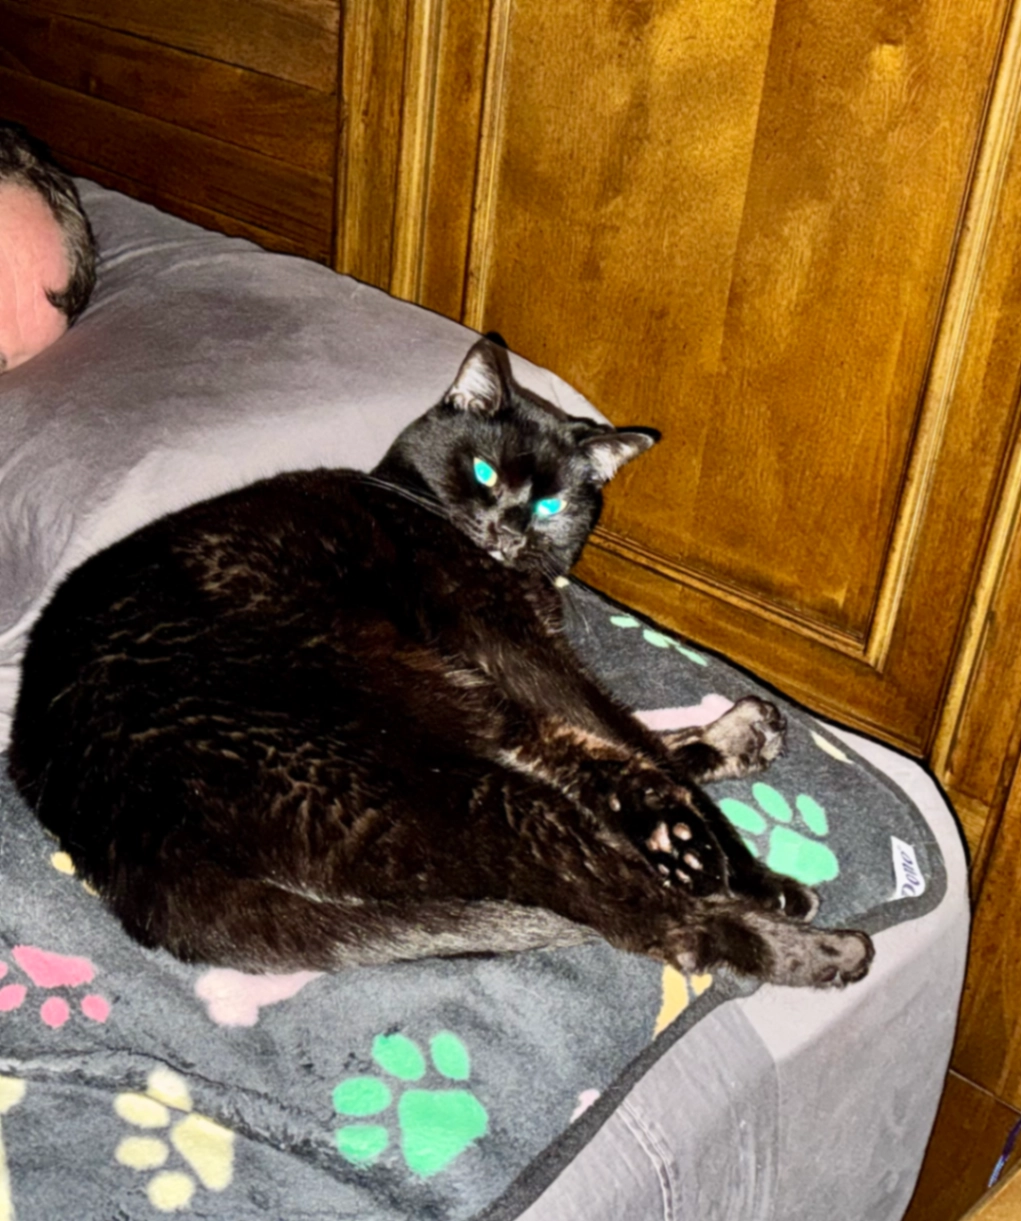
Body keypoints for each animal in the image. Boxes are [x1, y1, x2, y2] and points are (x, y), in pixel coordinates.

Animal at [8, 339, 872, 988]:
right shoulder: (508, 640)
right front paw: (753, 872)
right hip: (428, 772)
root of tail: (107, 830)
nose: (508, 528)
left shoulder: (514, 668)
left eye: (553, 503)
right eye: (485, 472)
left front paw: (730, 778)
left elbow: (629, 735)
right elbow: (624, 729)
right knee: (646, 911)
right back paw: (814, 947)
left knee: (593, 783)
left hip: (445, 733)